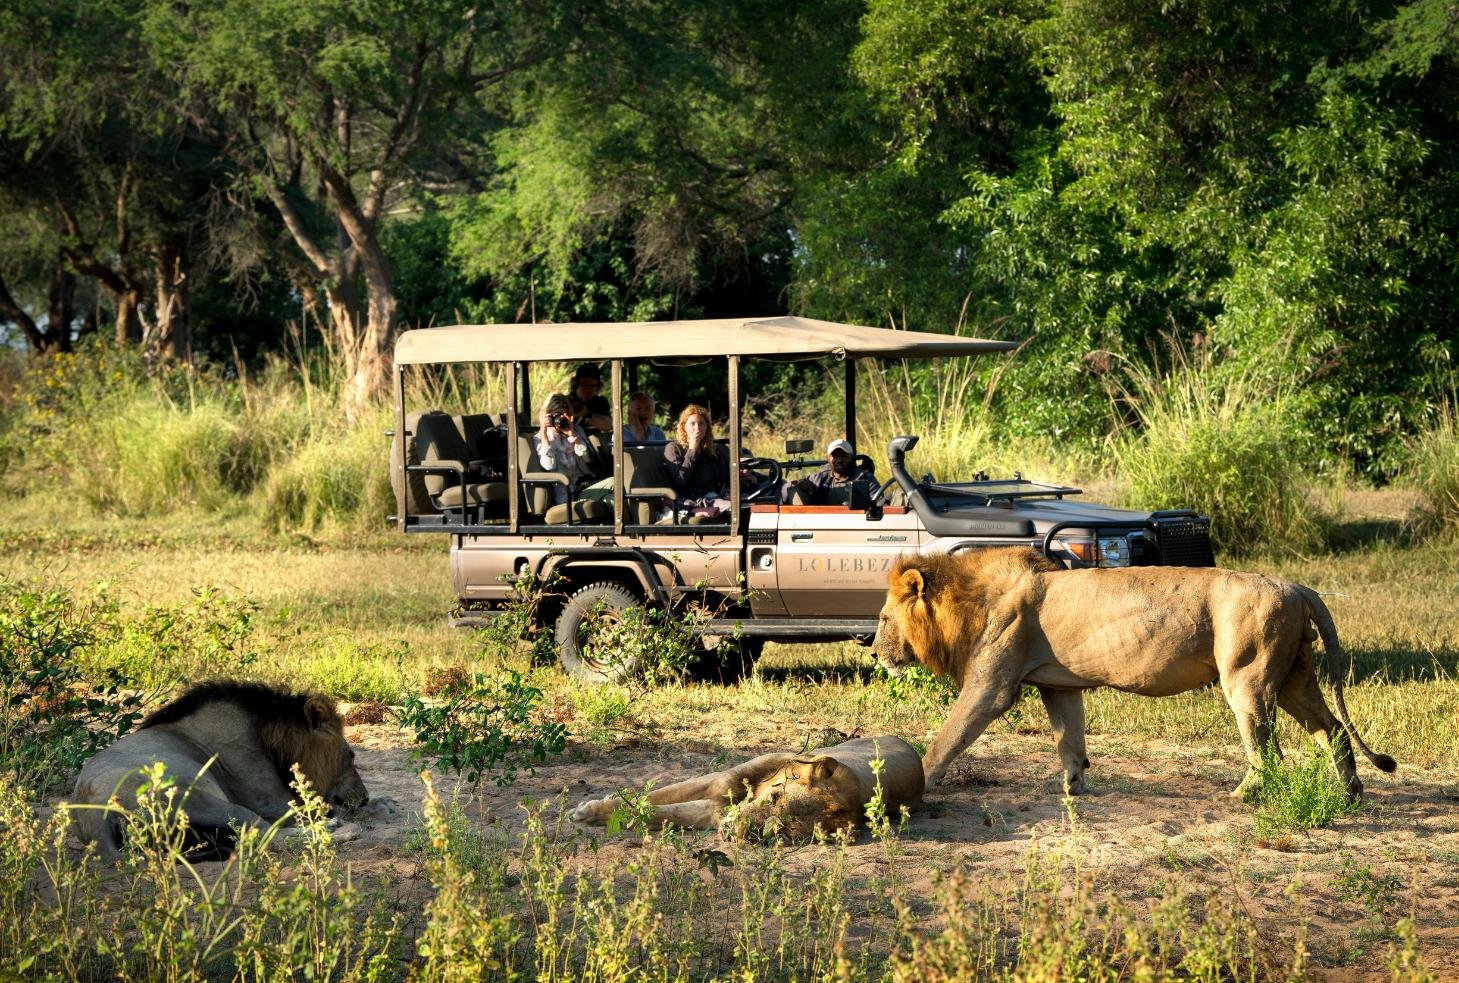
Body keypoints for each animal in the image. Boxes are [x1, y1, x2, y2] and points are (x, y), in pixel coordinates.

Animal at [71, 680, 369, 861]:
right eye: (351, 755)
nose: (365, 798)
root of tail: (94, 813)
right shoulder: (268, 798)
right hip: (203, 801)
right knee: (266, 835)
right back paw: (341, 831)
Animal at [571, 735, 924, 840]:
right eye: (776, 795)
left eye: (781, 830)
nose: (730, 832)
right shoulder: (717, 782)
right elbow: (651, 796)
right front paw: (587, 810)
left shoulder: (712, 811)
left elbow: (658, 812)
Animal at [874, 548, 1396, 800]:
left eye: (881, 618)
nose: (874, 653)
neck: (968, 601)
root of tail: (1295, 586)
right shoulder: (1058, 685)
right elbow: (1070, 739)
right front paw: (1074, 788)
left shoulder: (991, 686)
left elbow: (948, 736)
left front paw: (921, 781)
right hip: (1293, 677)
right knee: (1333, 729)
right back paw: (1351, 792)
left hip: (1248, 678)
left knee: (1269, 751)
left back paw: (1244, 795)